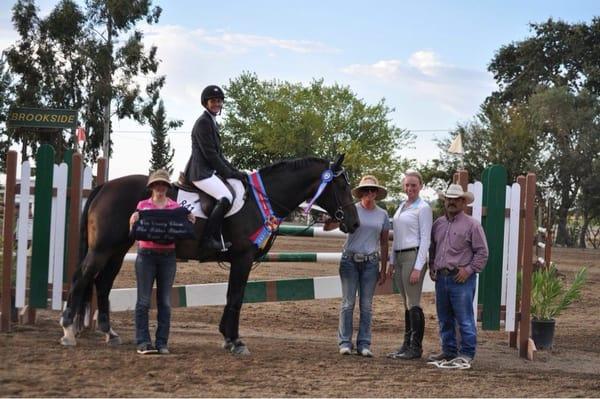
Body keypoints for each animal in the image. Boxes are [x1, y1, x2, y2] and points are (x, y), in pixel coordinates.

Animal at [59, 155, 360, 354]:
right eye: (342, 186)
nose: (354, 223)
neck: (262, 198)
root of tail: (104, 186)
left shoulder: (239, 261)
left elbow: (231, 297)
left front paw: (227, 337)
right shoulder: (242, 259)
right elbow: (236, 297)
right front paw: (235, 341)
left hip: (118, 250)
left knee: (102, 283)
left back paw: (109, 333)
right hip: (103, 248)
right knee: (82, 278)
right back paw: (68, 330)